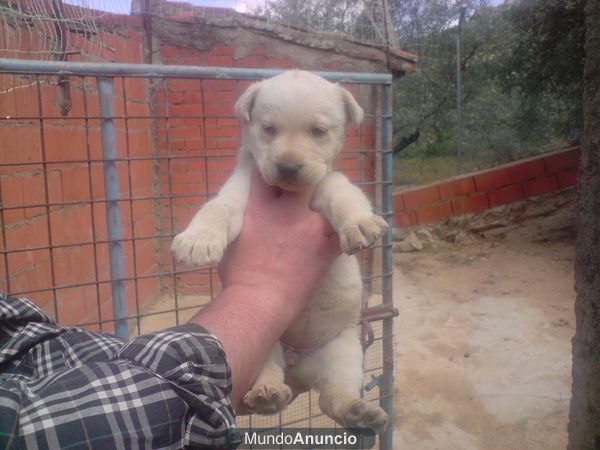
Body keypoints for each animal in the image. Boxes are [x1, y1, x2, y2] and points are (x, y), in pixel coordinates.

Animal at [173, 70, 390, 432]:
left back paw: (359, 411)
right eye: (269, 129)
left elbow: (345, 197)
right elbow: (216, 208)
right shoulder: (237, 195)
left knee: (334, 396)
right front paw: (197, 239)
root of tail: (297, 369)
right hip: (262, 342)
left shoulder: (329, 182)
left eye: (318, 131)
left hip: (343, 349)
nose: (288, 167)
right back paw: (268, 393)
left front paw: (359, 224)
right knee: (272, 376)